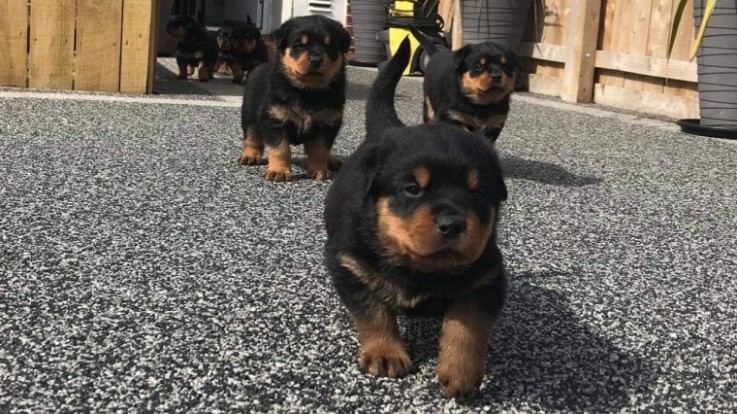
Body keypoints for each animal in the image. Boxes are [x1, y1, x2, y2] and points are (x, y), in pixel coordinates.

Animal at [237, 14, 350, 181]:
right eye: (299, 45)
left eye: (329, 46)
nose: (316, 60)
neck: (308, 90)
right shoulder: (273, 119)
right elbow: (280, 149)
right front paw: (278, 171)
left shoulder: (328, 123)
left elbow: (320, 150)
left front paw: (319, 169)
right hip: (249, 111)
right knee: (251, 134)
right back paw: (250, 154)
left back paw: (331, 160)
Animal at [324, 37, 508, 400]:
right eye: (412, 189)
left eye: (478, 194)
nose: (452, 225)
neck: (420, 268)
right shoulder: (348, 263)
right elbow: (372, 311)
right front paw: (385, 352)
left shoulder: (490, 275)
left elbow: (469, 323)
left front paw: (460, 371)